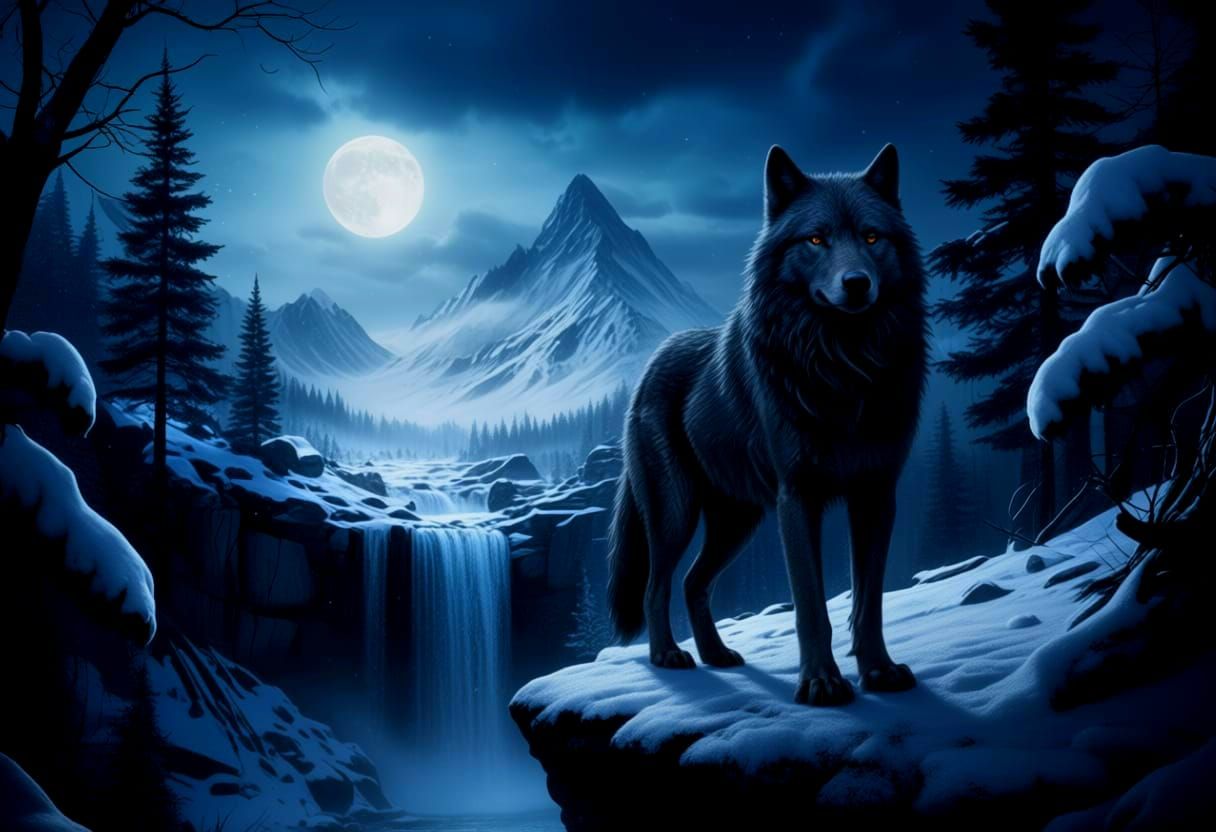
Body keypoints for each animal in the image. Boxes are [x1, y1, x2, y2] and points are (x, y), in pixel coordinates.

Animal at [607, 144, 928, 706]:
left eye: (872, 237)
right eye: (816, 239)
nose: (857, 284)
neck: (844, 368)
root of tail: (652, 360)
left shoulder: (876, 495)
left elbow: (869, 602)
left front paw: (880, 672)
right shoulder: (796, 498)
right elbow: (811, 606)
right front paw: (821, 683)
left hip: (738, 521)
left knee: (694, 583)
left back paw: (716, 654)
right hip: (676, 513)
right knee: (657, 584)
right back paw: (667, 656)